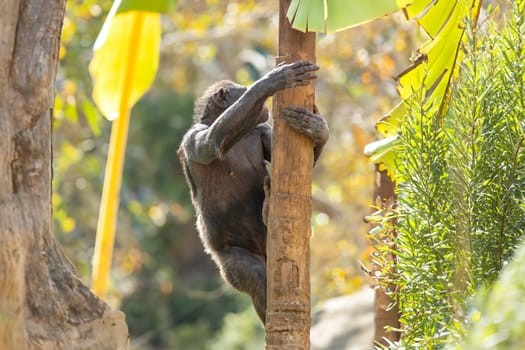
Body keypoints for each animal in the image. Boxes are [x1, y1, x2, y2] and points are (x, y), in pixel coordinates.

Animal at [177, 60, 328, 326]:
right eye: (244, 89)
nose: (264, 105)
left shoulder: (264, 131)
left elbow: (298, 164)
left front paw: (316, 127)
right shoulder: (193, 138)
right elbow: (211, 141)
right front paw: (271, 81)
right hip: (231, 258)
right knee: (256, 276)